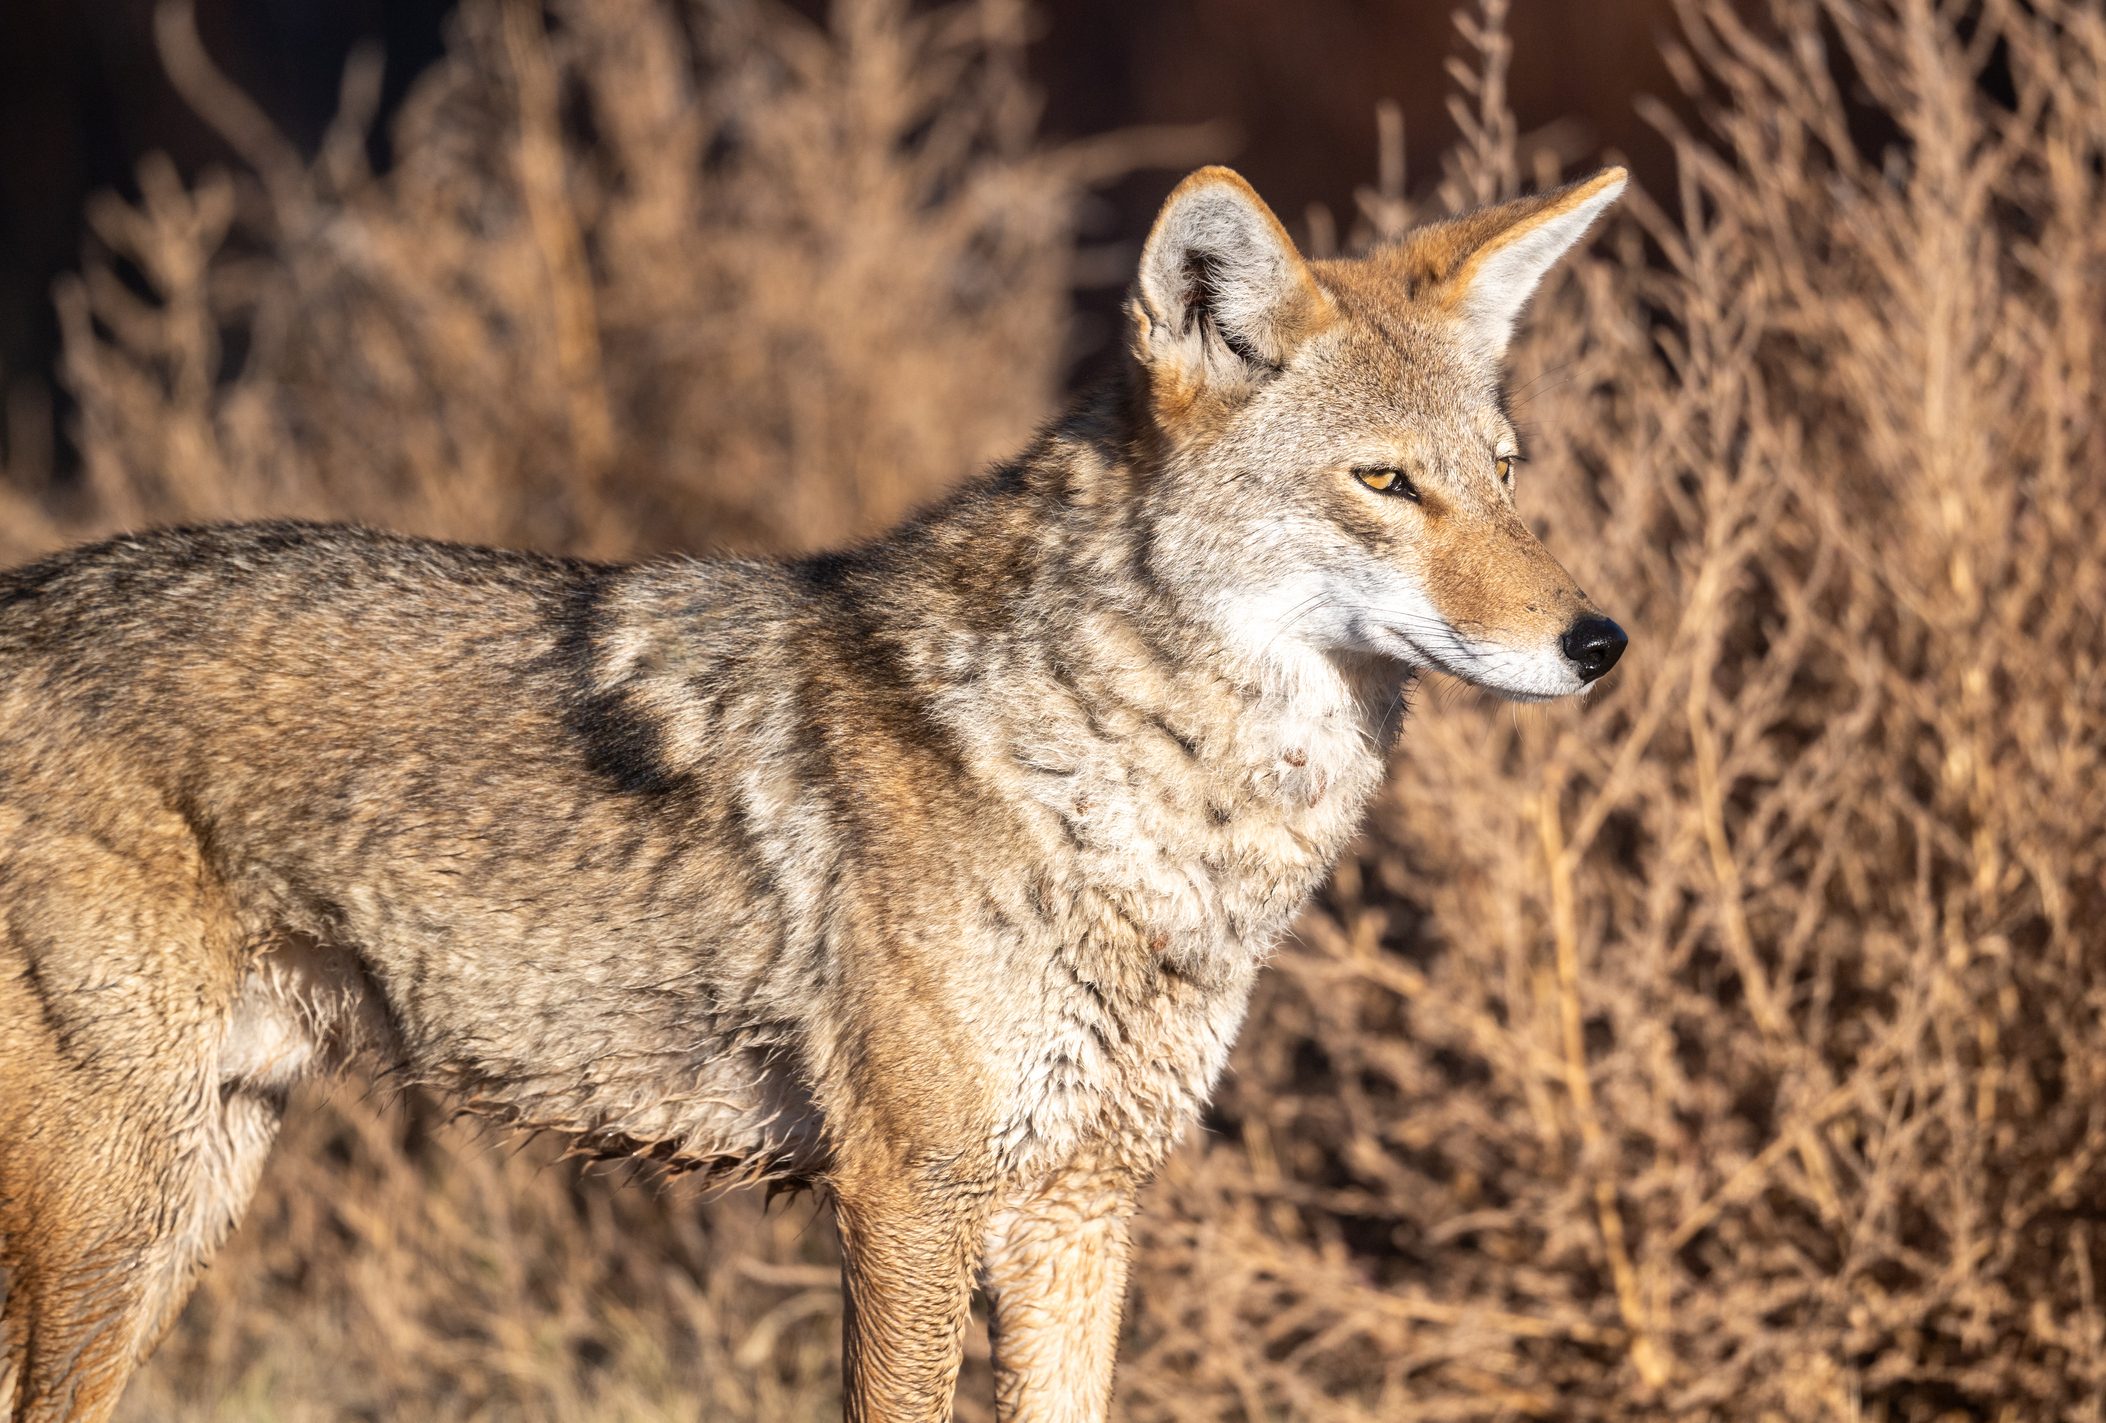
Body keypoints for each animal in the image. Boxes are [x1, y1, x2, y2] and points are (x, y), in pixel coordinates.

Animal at [0, 164, 1626, 1421]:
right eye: (1384, 483)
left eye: (1503, 472)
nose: (1598, 639)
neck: (1138, 806)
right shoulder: (908, 1198)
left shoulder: (1080, 1203)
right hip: (116, 1216)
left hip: (186, 1203)